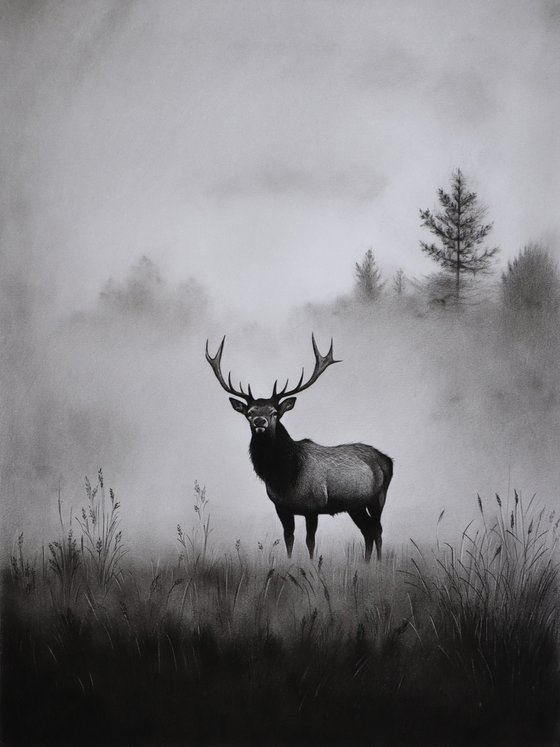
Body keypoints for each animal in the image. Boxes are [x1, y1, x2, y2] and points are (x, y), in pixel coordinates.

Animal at [205, 335, 393, 562]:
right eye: (249, 413)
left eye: (274, 412)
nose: (260, 421)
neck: (284, 477)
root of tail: (388, 460)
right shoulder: (281, 507)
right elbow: (289, 538)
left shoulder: (314, 506)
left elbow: (310, 541)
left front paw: (311, 565)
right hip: (354, 505)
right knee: (367, 530)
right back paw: (365, 564)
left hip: (378, 497)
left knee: (377, 529)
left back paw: (378, 563)